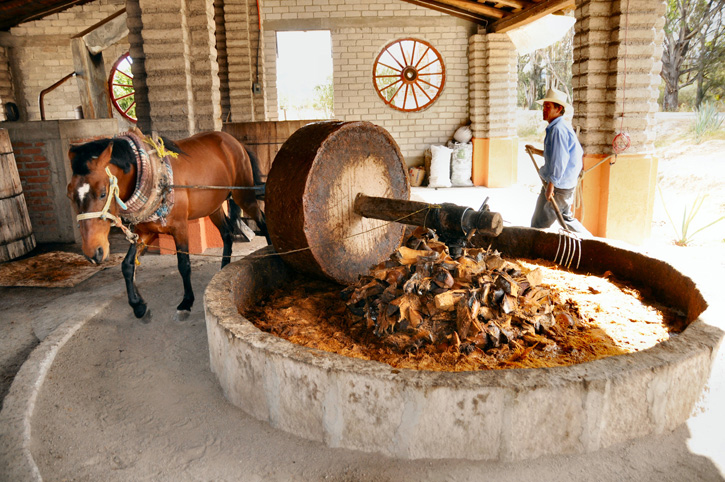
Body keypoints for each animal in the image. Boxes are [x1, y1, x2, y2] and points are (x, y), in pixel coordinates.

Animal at [65, 130, 268, 322]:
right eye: (70, 195)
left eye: (102, 193)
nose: (93, 253)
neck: (157, 179)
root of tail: (234, 141)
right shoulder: (144, 231)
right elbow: (127, 265)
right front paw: (138, 306)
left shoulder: (180, 228)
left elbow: (184, 265)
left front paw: (186, 302)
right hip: (214, 206)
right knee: (226, 233)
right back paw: (223, 267)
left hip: (244, 196)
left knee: (262, 221)